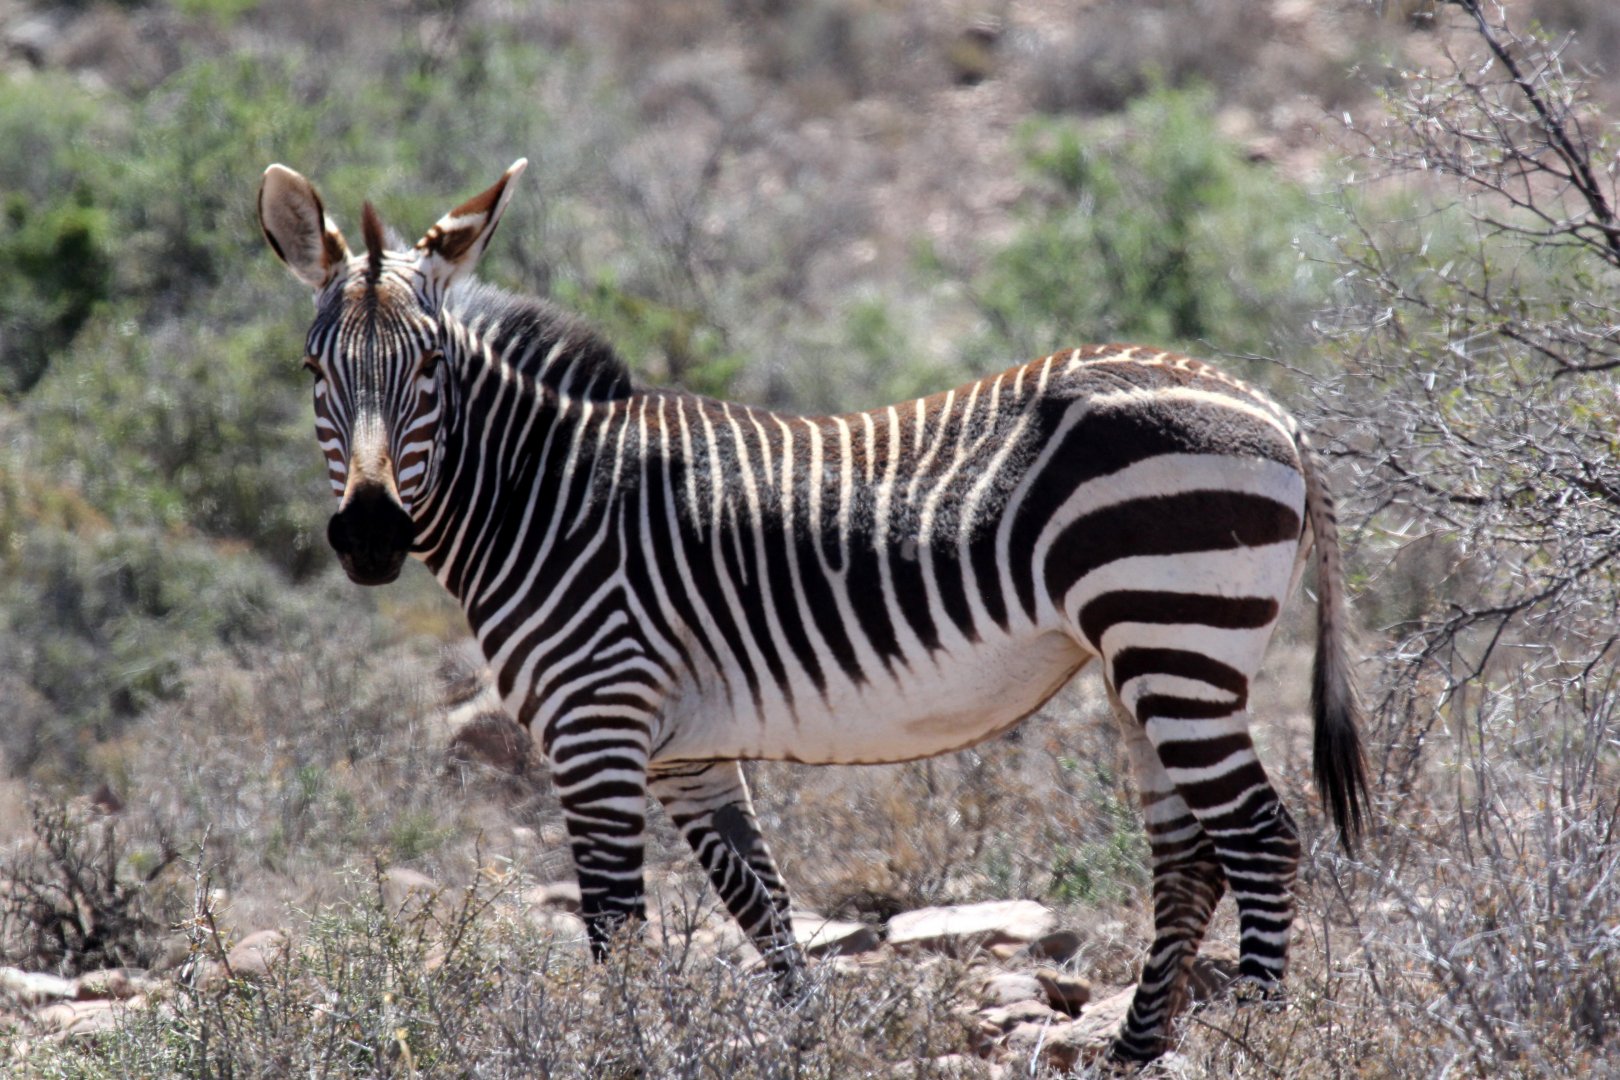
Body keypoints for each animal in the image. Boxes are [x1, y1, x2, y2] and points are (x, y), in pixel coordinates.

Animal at [258, 159, 1367, 1063]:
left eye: (431, 368)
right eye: (314, 371)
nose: (369, 536)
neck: (548, 496)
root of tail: (1268, 406)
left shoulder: (596, 725)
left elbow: (616, 927)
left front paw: (628, 1047)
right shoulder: (687, 749)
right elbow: (760, 902)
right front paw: (802, 1038)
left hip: (1176, 637)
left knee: (1260, 838)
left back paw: (1258, 1036)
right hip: (1146, 659)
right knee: (1189, 860)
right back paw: (1135, 1050)